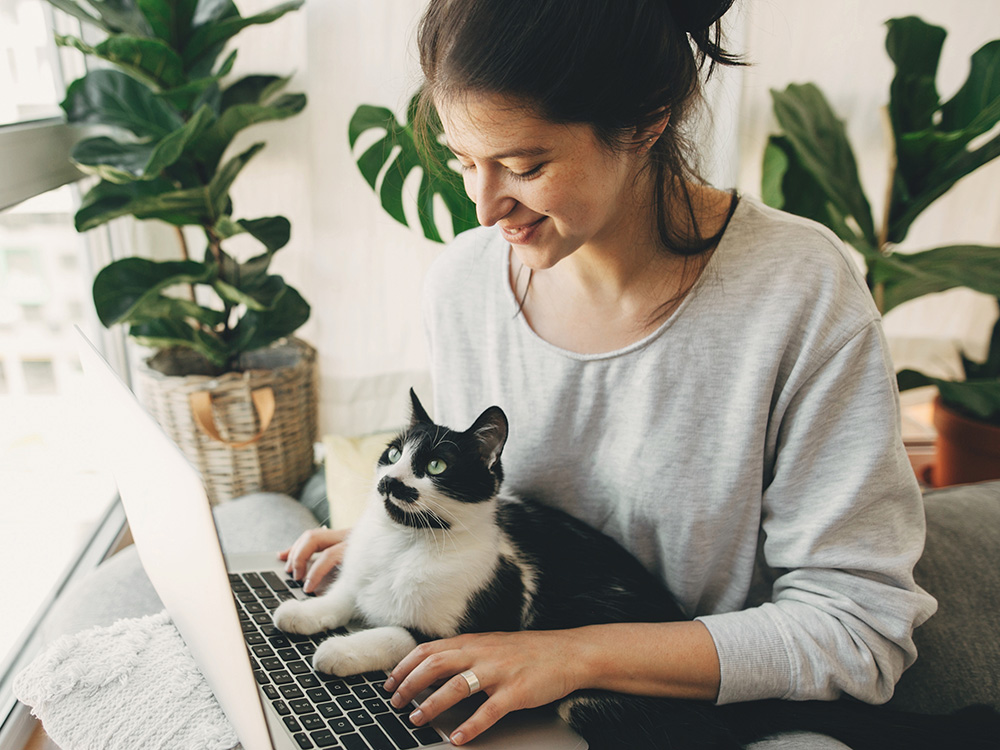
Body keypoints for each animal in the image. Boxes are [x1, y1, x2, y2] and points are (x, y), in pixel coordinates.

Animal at [270, 394, 996, 750]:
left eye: (438, 467)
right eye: (393, 453)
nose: (389, 481)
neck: (404, 542)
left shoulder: (477, 619)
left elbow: (399, 635)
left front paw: (336, 654)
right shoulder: (362, 569)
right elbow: (344, 593)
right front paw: (302, 613)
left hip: (595, 701)